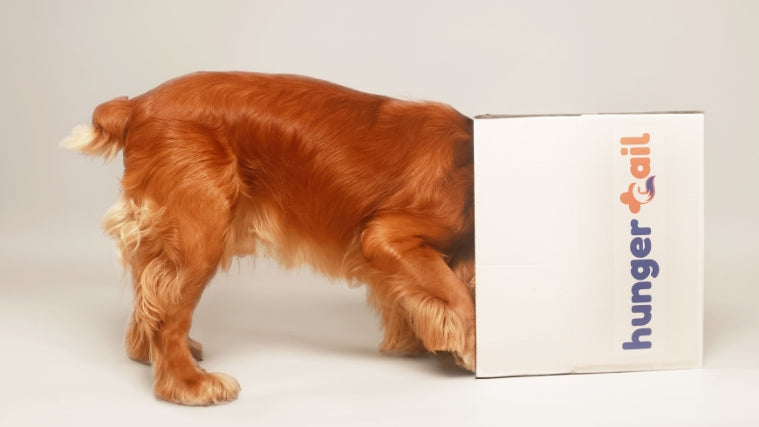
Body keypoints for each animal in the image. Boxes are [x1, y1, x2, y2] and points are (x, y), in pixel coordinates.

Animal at [62, 72, 476, 406]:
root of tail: (136, 105)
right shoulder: (385, 235)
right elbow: (460, 296)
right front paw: (472, 350)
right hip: (202, 231)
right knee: (167, 314)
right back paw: (189, 384)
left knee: (148, 290)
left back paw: (150, 352)